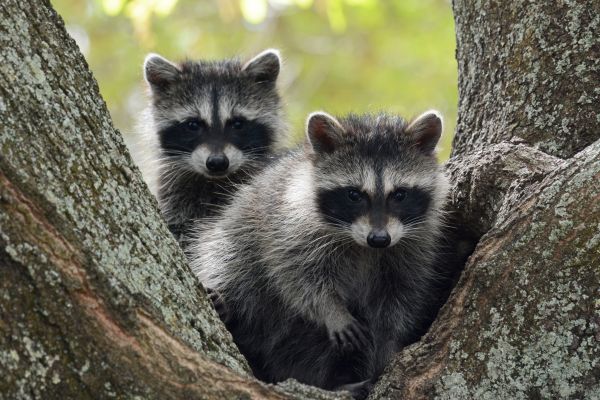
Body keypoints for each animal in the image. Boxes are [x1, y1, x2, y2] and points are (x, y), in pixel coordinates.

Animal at [190, 109, 448, 396]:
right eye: (354, 195)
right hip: (237, 235)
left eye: (400, 195)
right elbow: (298, 277)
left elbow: (400, 295)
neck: (362, 246)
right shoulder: (289, 225)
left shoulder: (413, 247)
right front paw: (331, 310)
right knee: (233, 264)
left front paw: (389, 344)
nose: (379, 239)